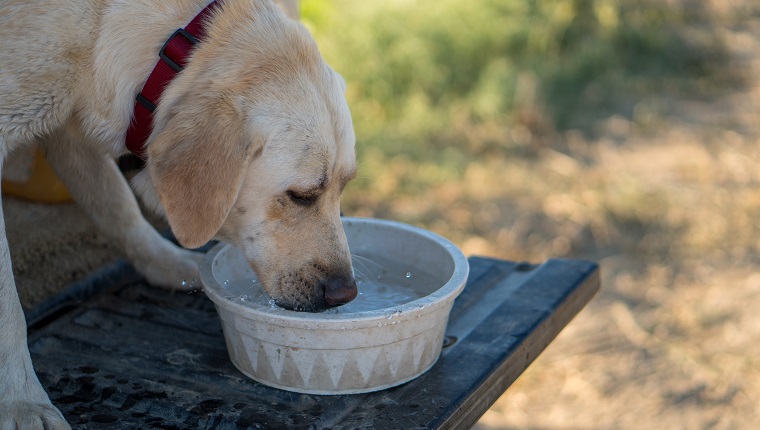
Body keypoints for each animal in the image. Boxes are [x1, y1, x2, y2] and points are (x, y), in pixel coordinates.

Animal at [0, 0, 358, 424]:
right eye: (301, 196)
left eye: (345, 185)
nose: (347, 294)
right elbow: (9, 308)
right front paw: (23, 400)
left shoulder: (69, 131)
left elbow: (119, 210)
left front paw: (166, 265)